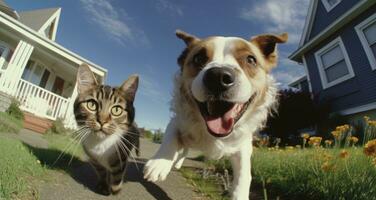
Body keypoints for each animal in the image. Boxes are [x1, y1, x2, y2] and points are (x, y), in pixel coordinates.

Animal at [73, 64, 140, 195]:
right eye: (91, 104)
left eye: (117, 110)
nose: (102, 121)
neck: (101, 143)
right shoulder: (93, 158)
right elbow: (101, 171)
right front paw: (103, 186)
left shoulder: (122, 152)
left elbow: (118, 171)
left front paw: (115, 189)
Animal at [144, 30, 288, 200]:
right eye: (198, 58)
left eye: (250, 59)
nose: (218, 77)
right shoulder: (179, 122)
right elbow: (170, 138)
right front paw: (159, 163)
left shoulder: (243, 146)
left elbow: (244, 174)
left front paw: (240, 194)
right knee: (183, 150)